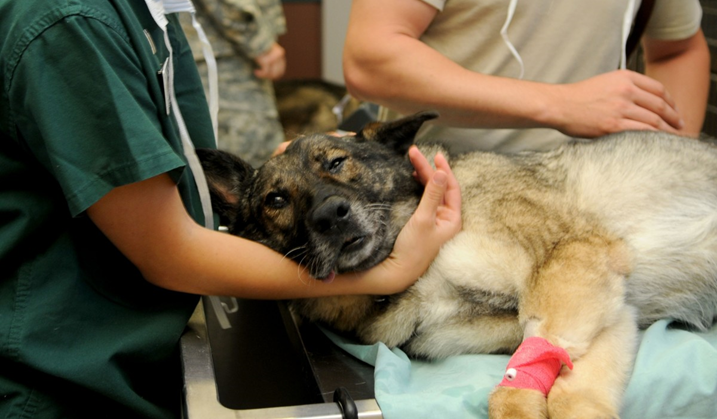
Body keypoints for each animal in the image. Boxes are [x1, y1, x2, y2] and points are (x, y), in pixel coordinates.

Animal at [197, 112, 716, 419]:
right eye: (276, 200)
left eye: (338, 162)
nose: (330, 215)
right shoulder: (606, 309)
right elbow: (569, 386)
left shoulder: (574, 261)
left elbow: (538, 381)